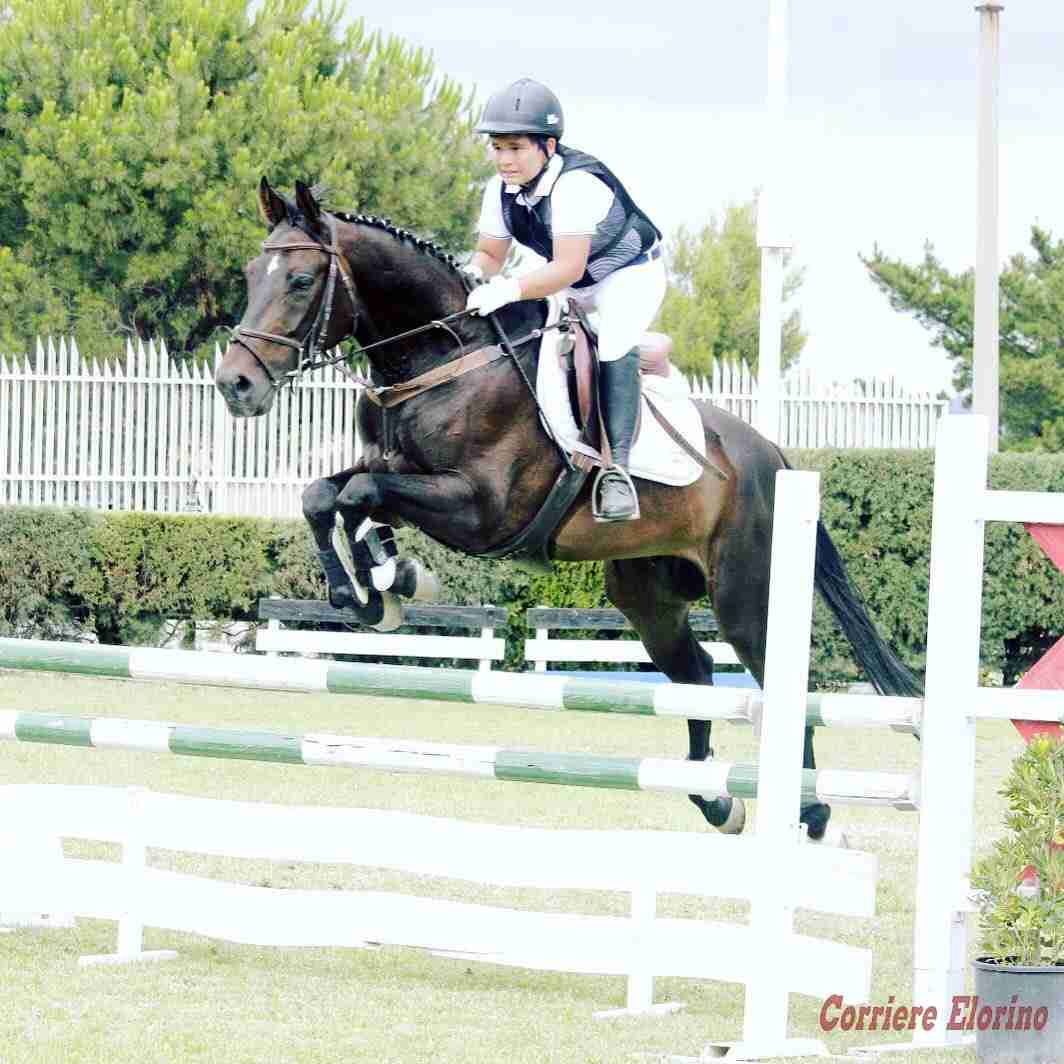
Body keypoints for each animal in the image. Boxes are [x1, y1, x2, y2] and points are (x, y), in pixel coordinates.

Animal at [215, 180, 923, 838]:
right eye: (250, 276)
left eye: (301, 280)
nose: (234, 385)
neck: (445, 358)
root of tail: (772, 455)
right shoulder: (396, 469)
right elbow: (328, 494)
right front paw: (377, 587)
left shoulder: (481, 509)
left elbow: (360, 494)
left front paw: (386, 585)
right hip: (648, 591)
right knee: (695, 673)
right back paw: (715, 798)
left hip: (746, 597)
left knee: (777, 680)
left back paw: (812, 809)